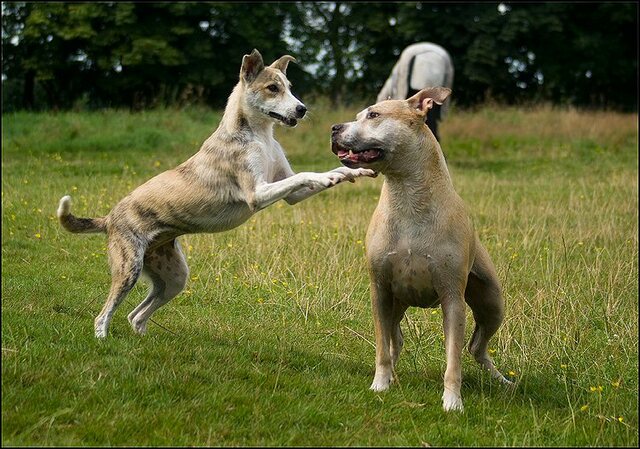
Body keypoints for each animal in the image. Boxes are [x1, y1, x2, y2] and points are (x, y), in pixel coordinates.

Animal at [58, 49, 376, 336]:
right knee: (104, 315)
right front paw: (336, 174)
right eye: (272, 88)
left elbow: (310, 178)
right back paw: (103, 340)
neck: (259, 136)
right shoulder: (258, 193)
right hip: (129, 268)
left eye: (289, 87)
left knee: (136, 315)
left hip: (173, 277)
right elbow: (306, 175)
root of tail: (108, 218)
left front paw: (350, 172)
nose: (302, 109)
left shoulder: (290, 193)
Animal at [330, 86, 510, 412]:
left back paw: (502, 380)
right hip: (396, 304)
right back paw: (392, 376)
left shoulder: (452, 298)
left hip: (492, 303)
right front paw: (379, 384)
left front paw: (452, 402)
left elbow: (453, 358)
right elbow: (382, 347)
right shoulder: (380, 290)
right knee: (396, 339)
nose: (335, 128)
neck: (407, 195)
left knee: (476, 347)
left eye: (373, 115)